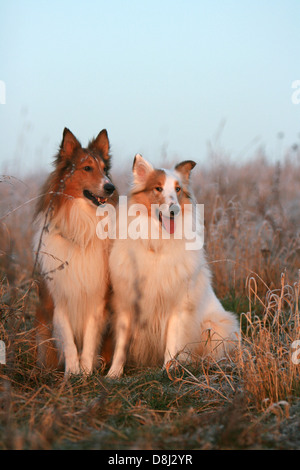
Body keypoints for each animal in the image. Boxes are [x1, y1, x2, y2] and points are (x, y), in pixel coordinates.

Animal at [33, 126, 117, 376]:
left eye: (104, 169)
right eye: (87, 168)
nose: (110, 187)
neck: (81, 226)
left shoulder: (97, 297)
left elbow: (89, 339)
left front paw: (87, 370)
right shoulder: (58, 298)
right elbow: (69, 341)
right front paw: (72, 372)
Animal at [106, 154, 240, 378]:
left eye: (178, 189)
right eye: (158, 188)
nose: (174, 210)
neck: (157, 244)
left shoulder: (177, 307)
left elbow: (172, 343)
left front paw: (167, 370)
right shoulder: (127, 304)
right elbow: (120, 347)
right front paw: (113, 374)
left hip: (213, 326)